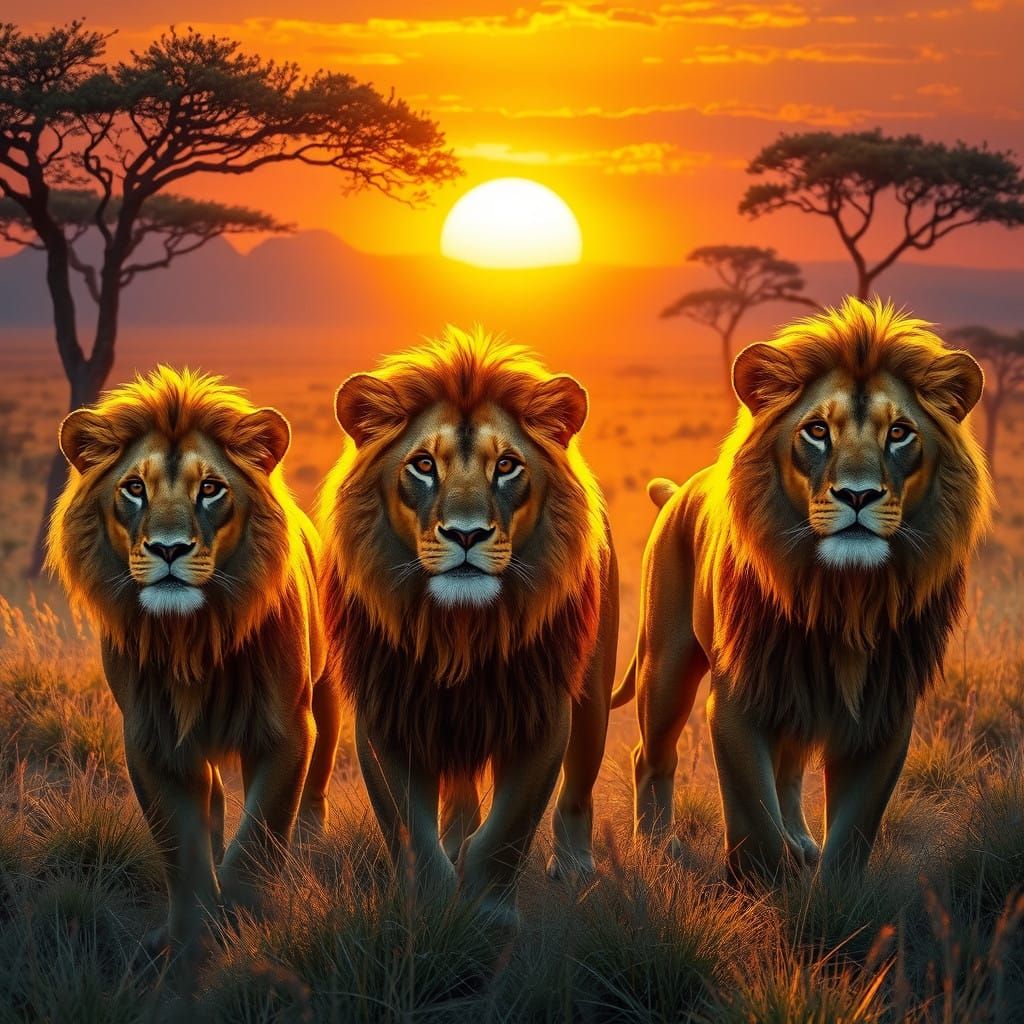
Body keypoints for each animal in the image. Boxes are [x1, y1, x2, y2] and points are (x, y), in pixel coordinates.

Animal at [46, 366, 341, 956]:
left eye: (210, 488)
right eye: (134, 488)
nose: (168, 549)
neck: (193, 635)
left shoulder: (285, 729)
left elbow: (262, 834)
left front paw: (245, 914)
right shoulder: (153, 739)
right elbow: (182, 847)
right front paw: (189, 936)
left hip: (325, 695)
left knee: (319, 770)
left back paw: (310, 836)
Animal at [318, 327, 618, 925]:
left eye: (505, 466)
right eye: (423, 465)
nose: (465, 534)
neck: (457, 632)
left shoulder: (543, 709)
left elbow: (507, 830)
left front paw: (486, 914)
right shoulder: (386, 713)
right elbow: (410, 830)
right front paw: (431, 911)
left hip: (593, 698)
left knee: (577, 788)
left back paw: (574, 864)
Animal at [612, 298, 992, 879]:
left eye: (899, 433)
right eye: (816, 431)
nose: (857, 495)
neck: (841, 596)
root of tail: (678, 490)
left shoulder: (884, 712)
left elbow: (853, 831)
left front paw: (829, 891)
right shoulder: (738, 699)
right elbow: (754, 818)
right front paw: (762, 884)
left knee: (789, 770)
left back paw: (801, 842)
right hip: (665, 666)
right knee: (651, 756)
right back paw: (657, 849)